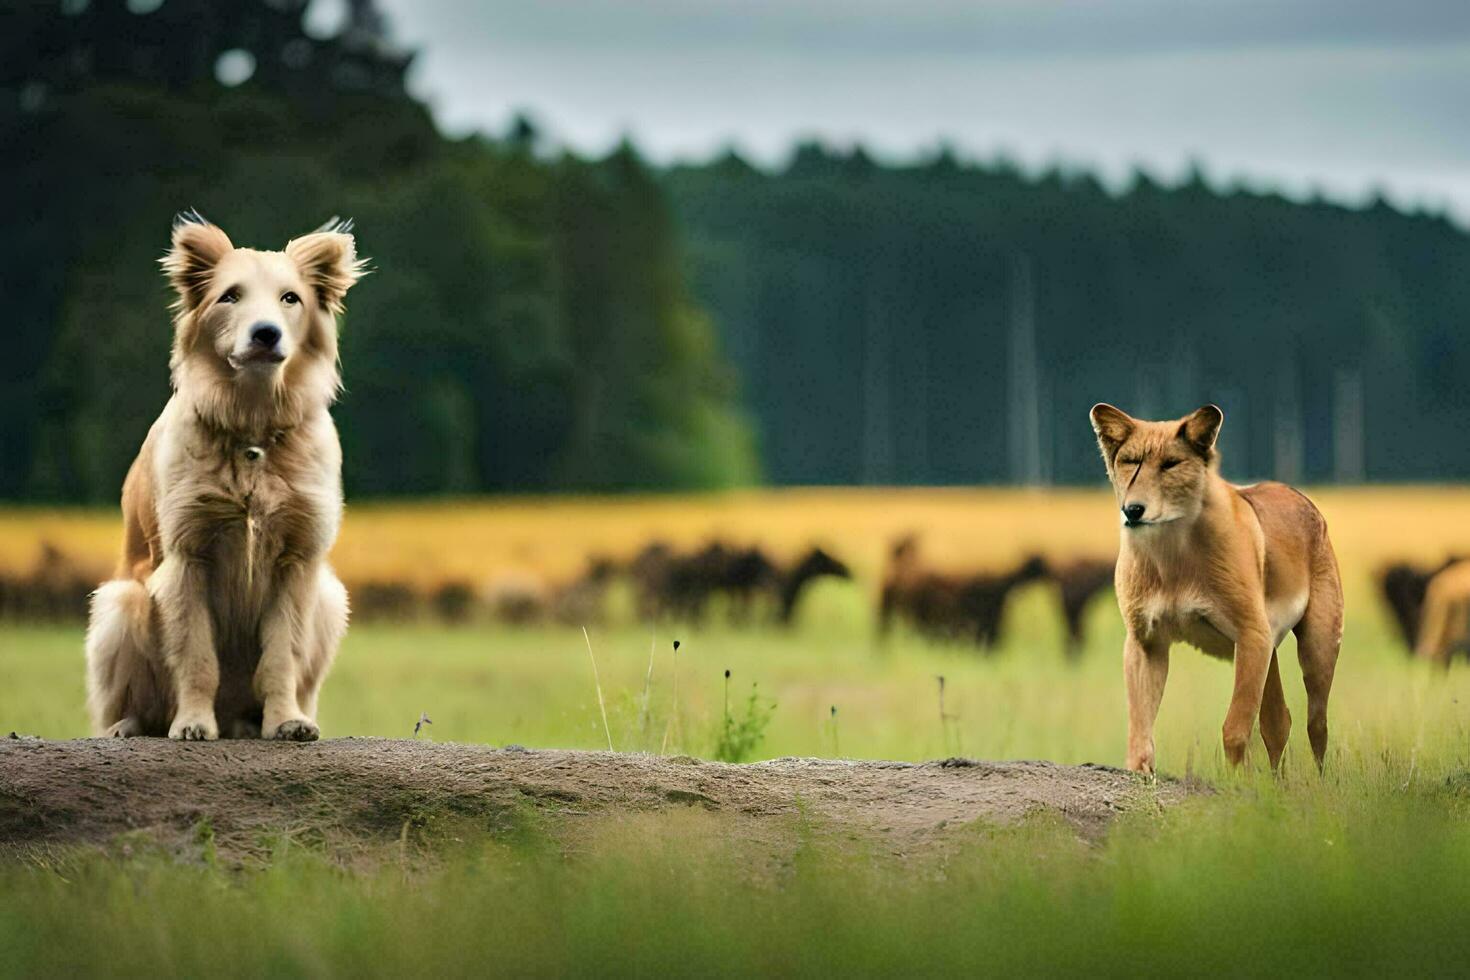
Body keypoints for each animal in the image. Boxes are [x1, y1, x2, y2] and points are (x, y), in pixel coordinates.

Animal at [85, 211, 364, 740]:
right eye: (230, 296)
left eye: (290, 298)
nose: (266, 333)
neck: (252, 431)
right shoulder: (188, 557)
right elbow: (196, 656)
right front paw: (193, 722)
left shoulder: (297, 562)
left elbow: (281, 656)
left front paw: (286, 720)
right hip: (118, 604)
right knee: (130, 703)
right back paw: (128, 726)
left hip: (330, 598)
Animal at [1093, 402, 1346, 769]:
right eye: (1130, 461)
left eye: (1171, 464)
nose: (1134, 510)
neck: (1171, 551)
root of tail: (1298, 494)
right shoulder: (1145, 642)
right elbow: (1140, 729)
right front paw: (1141, 774)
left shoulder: (1250, 634)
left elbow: (1236, 727)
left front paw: (1235, 780)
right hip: (1268, 652)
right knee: (1278, 722)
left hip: (1316, 650)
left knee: (1317, 725)